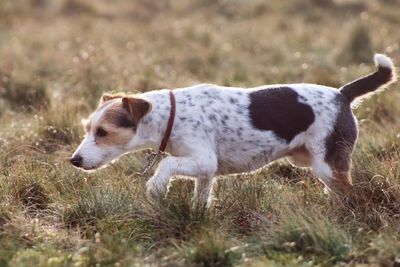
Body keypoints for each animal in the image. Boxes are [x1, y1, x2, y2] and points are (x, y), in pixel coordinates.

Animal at [70, 53, 396, 206]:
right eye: (88, 128)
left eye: (102, 132)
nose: (74, 160)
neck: (171, 115)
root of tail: (342, 94)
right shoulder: (205, 172)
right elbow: (200, 199)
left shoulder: (203, 160)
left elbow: (165, 165)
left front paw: (156, 187)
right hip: (311, 163)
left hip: (327, 165)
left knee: (353, 194)